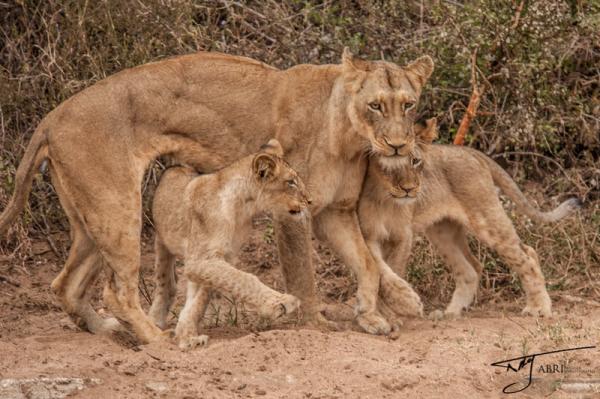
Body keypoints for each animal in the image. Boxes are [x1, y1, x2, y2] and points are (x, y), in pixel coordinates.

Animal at [0, 49, 432, 344]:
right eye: (375, 105)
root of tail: (51, 118)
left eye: (408, 105)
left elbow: (367, 263)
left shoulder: (334, 211)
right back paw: (157, 339)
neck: (348, 135)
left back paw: (109, 331)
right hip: (116, 207)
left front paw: (380, 312)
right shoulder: (293, 213)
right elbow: (303, 274)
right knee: (117, 290)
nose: (397, 145)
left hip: (90, 217)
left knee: (66, 283)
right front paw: (315, 325)